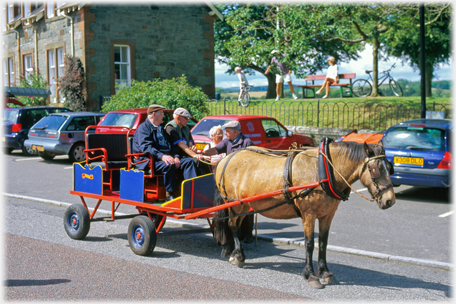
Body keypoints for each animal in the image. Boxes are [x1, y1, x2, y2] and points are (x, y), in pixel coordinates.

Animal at [214, 140, 396, 288]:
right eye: (375, 169)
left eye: (389, 167)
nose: (390, 200)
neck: (323, 170)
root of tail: (226, 158)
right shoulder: (309, 214)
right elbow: (309, 244)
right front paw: (311, 275)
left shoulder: (327, 214)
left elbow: (323, 243)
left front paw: (326, 272)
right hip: (234, 203)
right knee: (232, 226)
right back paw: (238, 255)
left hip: (244, 206)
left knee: (234, 225)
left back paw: (233, 253)